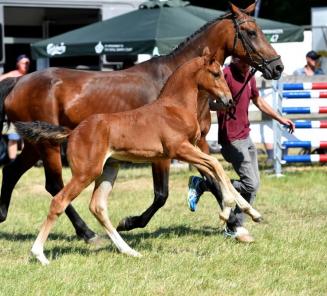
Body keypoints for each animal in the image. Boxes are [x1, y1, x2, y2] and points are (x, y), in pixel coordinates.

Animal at [15, 49, 262, 264]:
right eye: (216, 73)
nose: (229, 100)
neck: (175, 107)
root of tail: (72, 132)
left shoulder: (192, 149)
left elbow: (215, 171)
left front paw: (250, 212)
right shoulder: (179, 149)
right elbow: (215, 166)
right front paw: (230, 208)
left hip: (109, 169)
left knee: (98, 207)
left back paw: (128, 250)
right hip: (86, 172)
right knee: (59, 201)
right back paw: (39, 254)